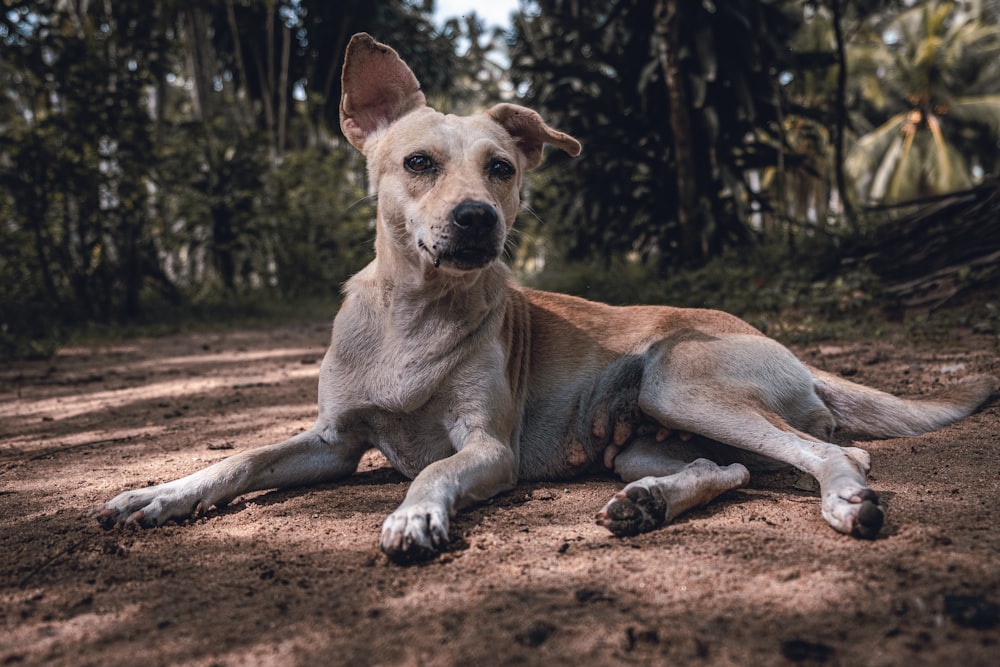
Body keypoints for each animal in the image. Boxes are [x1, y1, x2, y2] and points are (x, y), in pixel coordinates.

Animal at [95, 32, 992, 564]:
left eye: (502, 167)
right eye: (418, 163)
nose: (477, 219)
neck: (415, 315)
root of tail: (790, 349)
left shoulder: (487, 448)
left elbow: (434, 469)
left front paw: (415, 517)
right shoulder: (332, 441)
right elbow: (238, 458)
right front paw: (158, 494)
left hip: (677, 377)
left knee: (842, 454)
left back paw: (846, 500)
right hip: (643, 437)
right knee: (729, 466)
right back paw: (647, 504)